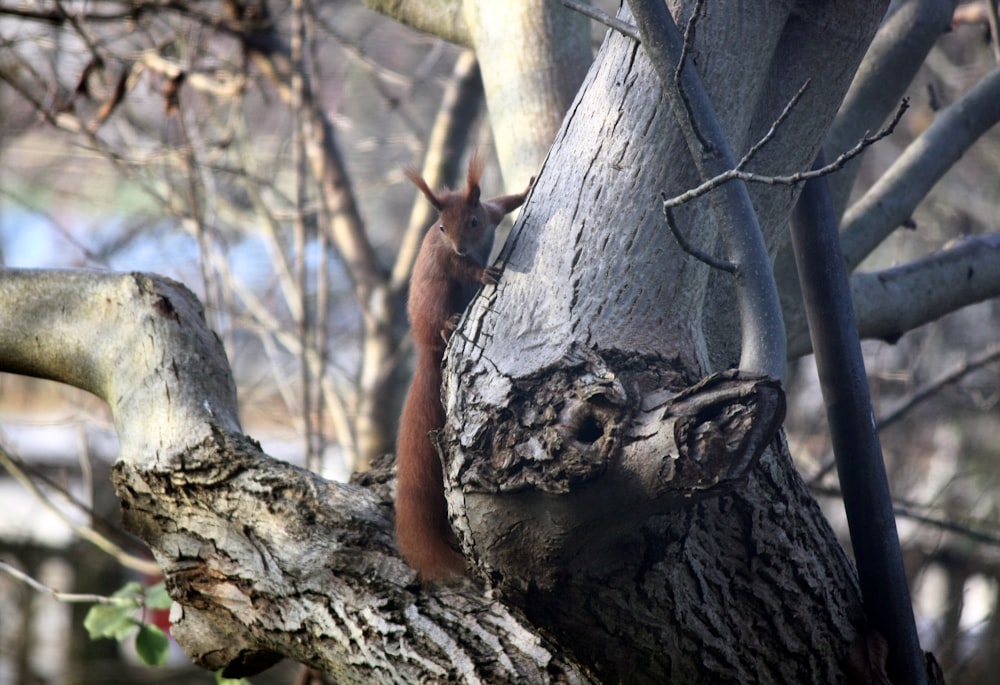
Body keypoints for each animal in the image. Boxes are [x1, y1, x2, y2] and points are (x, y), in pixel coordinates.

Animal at [396, 156, 536, 584]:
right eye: (441, 227)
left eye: (472, 221)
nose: (458, 244)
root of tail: (426, 350)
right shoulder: (450, 261)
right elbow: (466, 270)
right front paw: (484, 274)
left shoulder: (490, 212)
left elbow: (504, 203)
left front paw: (526, 189)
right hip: (435, 298)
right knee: (440, 316)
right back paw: (447, 325)